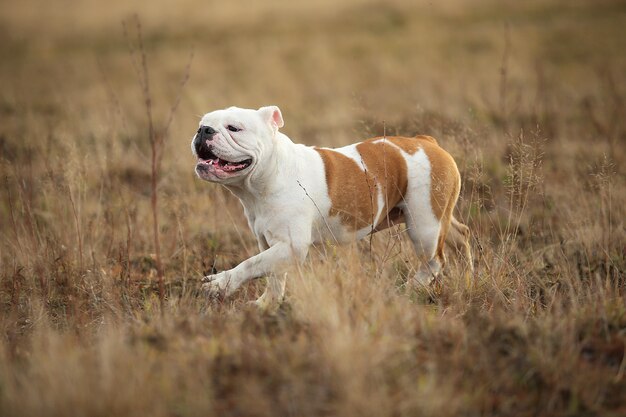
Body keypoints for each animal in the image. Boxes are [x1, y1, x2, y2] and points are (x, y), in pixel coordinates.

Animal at [190, 105, 468, 308]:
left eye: (234, 128)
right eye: (202, 124)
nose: (204, 130)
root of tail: (427, 141)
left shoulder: (291, 245)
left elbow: (250, 264)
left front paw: (220, 283)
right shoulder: (271, 244)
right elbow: (272, 274)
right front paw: (267, 303)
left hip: (424, 226)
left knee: (434, 261)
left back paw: (411, 288)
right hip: (440, 217)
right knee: (460, 235)